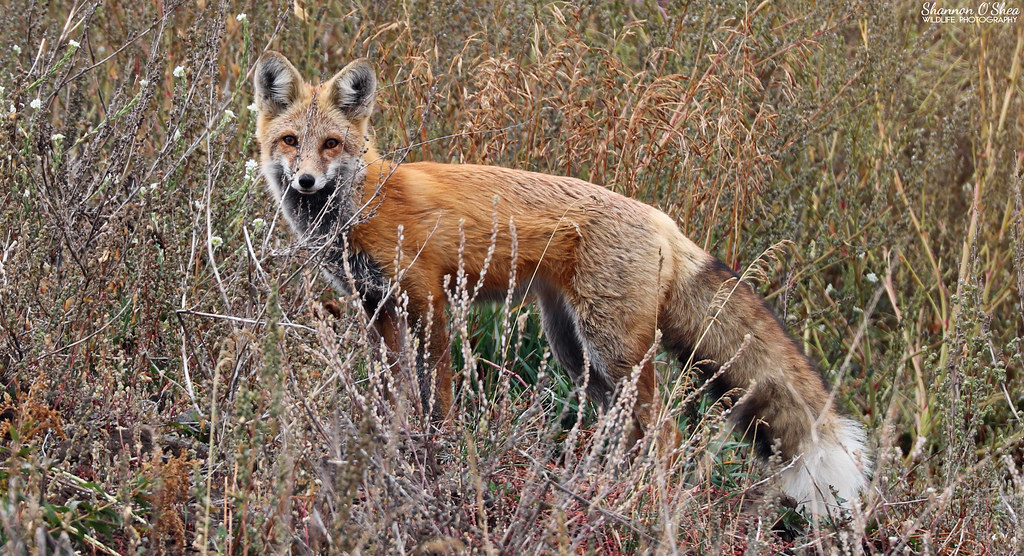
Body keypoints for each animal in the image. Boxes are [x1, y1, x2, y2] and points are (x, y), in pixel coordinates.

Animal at [253, 51, 871, 516]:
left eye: (331, 144)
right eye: (290, 141)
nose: (305, 181)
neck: (365, 204)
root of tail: (662, 219)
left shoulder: (428, 301)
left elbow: (439, 399)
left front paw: (438, 456)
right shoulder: (375, 304)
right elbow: (389, 392)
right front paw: (384, 443)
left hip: (611, 348)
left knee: (666, 431)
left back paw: (640, 500)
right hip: (578, 354)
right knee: (631, 429)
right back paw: (607, 487)